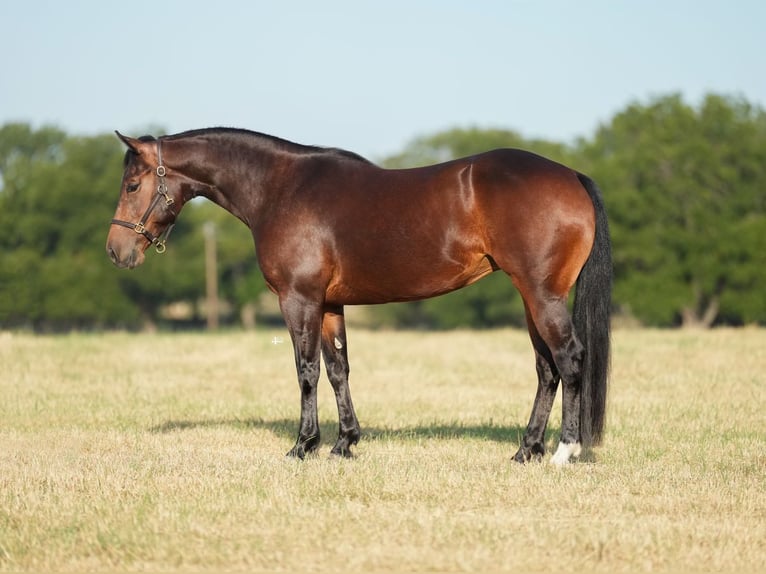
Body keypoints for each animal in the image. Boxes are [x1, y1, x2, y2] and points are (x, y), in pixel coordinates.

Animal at [106, 127, 611, 465]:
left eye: (132, 185)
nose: (116, 251)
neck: (281, 188)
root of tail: (571, 175)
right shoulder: (329, 304)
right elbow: (337, 370)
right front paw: (344, 443)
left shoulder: (299, 300)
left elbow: (306, 371)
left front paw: (302, 445)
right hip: (531, 298)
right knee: (546, 369)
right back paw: (526, 450)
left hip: (542, 296)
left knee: (569, 358)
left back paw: (565, 451)